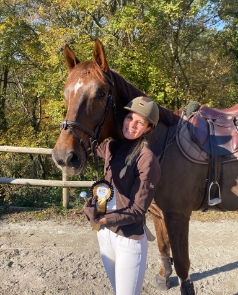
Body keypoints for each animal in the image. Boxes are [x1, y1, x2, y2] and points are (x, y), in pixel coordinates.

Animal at [51, 39, 238, 295]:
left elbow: (182, 263)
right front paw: (163, 277)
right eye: (66, 93)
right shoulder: (159, 213)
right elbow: (163, 247)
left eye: (101, 93)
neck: (163, 143)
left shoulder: (178, 215)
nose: (64, 157)